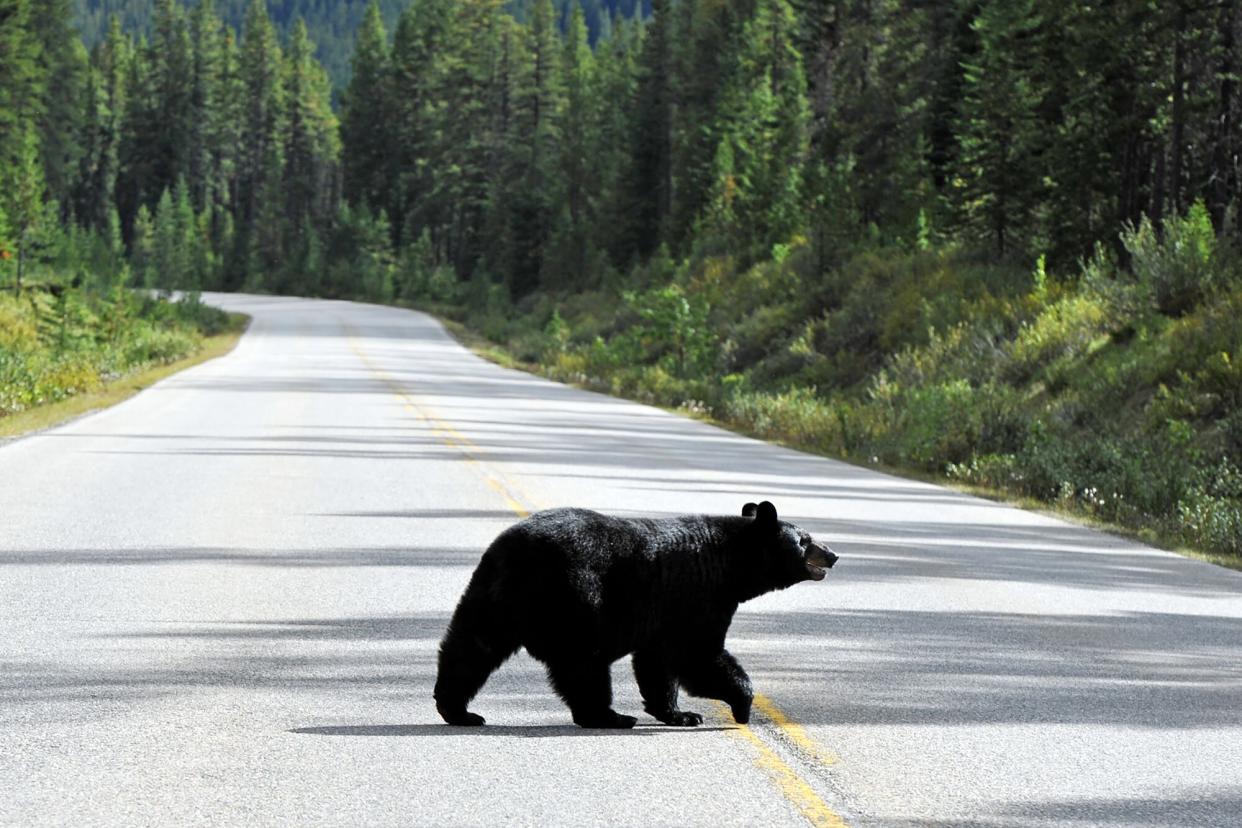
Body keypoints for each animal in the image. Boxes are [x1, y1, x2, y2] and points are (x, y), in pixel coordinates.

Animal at [434, 499, 834, 724]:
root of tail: (516, 551)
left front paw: (679, 714)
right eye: (805, 540)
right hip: (577, 598)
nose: (832, 554)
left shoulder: (667, 613)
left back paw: (458, 710)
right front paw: (741, 706)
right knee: (584, 663)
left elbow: (658, 662)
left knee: (471, 647)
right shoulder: (699, 596)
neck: (730, 565)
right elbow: (698, 656)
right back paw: (607, 716)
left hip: (493, 595)